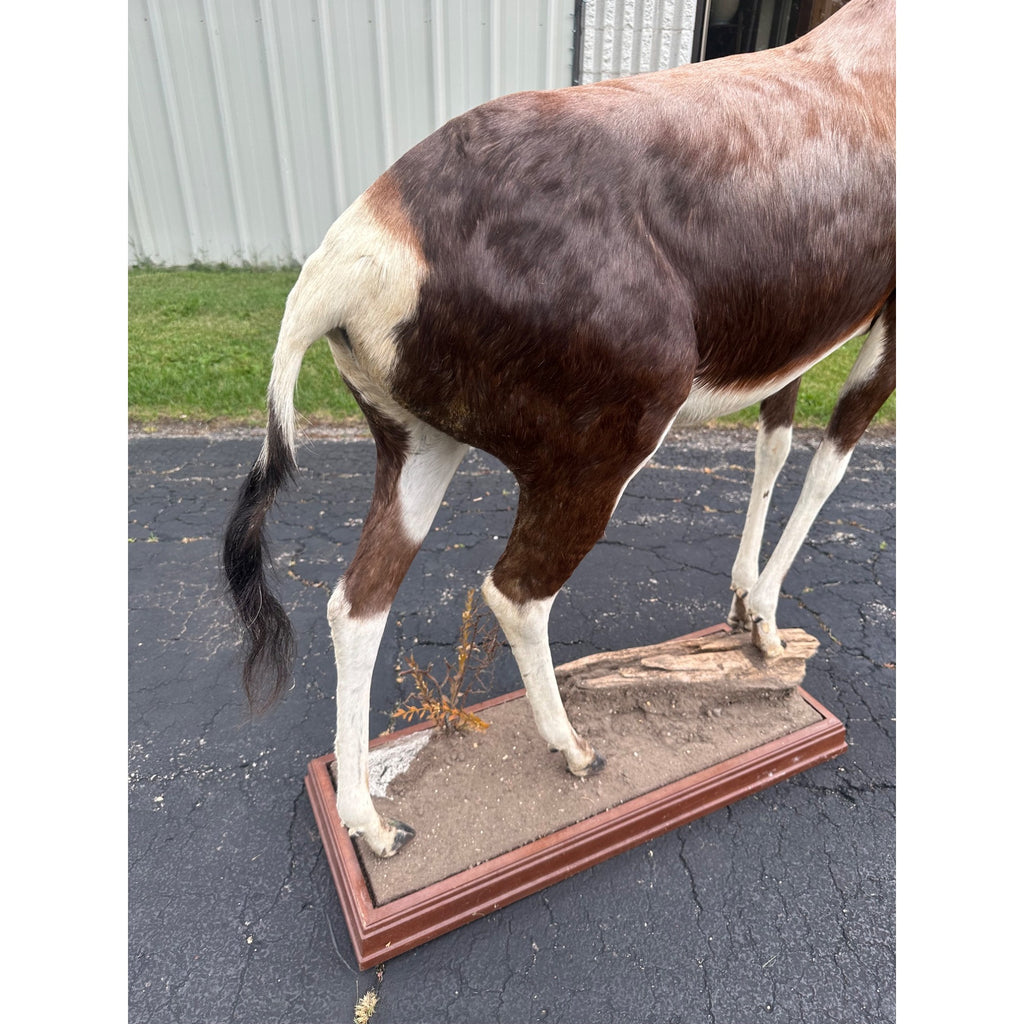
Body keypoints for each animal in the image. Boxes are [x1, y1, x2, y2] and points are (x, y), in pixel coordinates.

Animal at [224, 0, 895, 858]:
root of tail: (359, 251)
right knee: (515, 592)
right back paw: (573, 749)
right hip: (597, 458)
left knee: (358, 602)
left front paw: (744, 609)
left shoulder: (788, 346)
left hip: (417, 446)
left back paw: (373, 827)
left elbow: (774, 448)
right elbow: (828, 466)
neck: (864, 65)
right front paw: (770, 628)